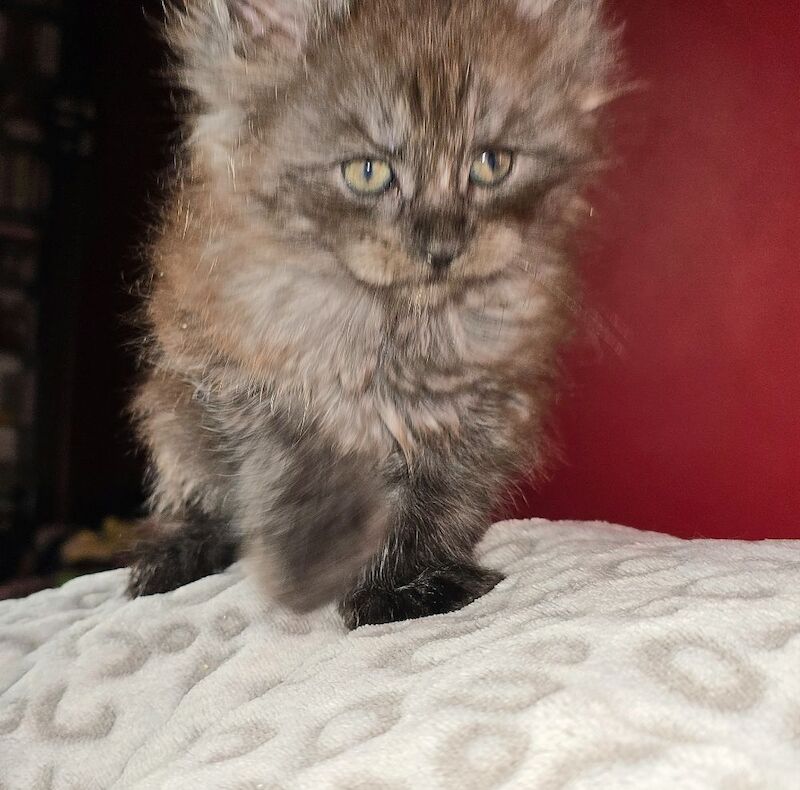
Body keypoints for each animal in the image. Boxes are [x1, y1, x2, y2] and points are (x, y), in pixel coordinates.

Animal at [130, 1, 620, 632]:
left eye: (492, 163)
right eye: (368, 171)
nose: (442, 248)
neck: (396, 323)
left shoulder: (484, 403)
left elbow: (438, 496)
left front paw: (405, 584)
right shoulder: (235, 373)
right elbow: (291, 466)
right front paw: (320, 553)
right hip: (171, 410)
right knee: (191, 491)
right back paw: (173, 554)